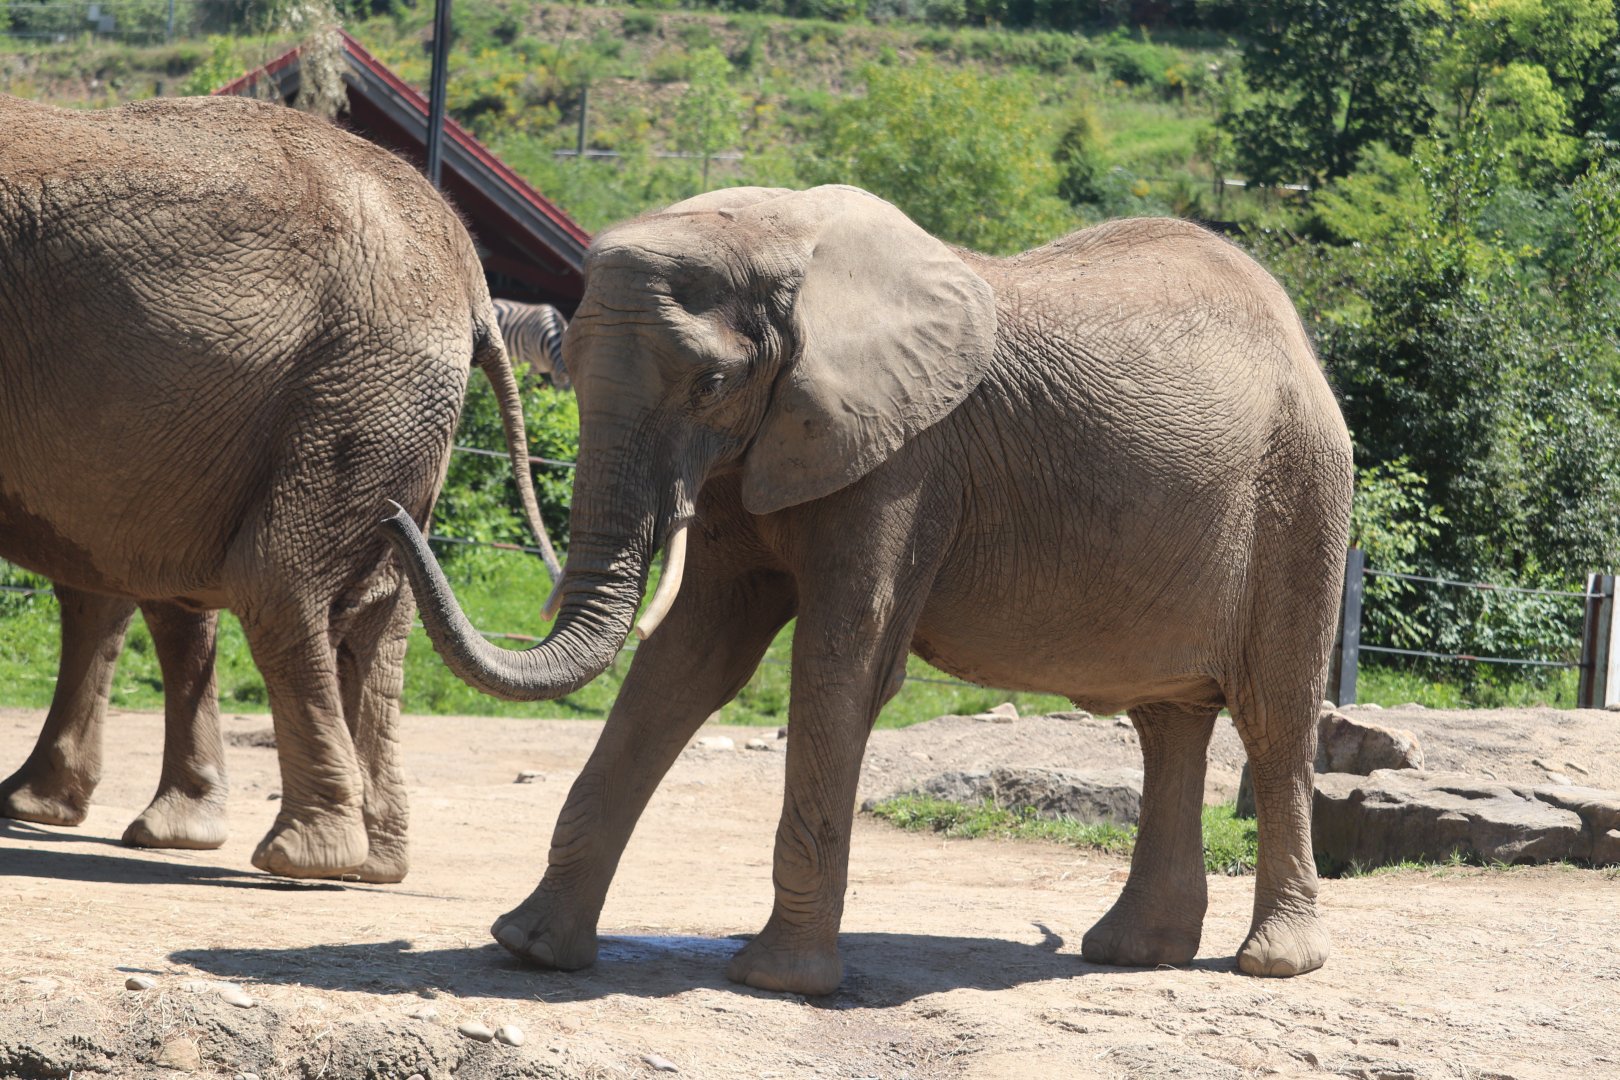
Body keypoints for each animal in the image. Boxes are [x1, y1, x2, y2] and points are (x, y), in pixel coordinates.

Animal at [0, 92, 552, 882]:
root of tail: (473, 289)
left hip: (356, 392)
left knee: (277, 581)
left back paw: (302, 857)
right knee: (366, 609)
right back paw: (363, 863)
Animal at [384, 185, 1354, 992]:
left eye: (711, 382)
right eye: (569, 372)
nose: (395, 515)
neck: (790, 247)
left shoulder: (906, 461)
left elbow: (840, 663)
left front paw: (777, 981)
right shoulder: (765, 447)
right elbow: (690, 662)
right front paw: (527, 949)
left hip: (1301, 497)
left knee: (1272, 717)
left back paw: (1273, 964)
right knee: (1169, 722)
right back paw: (1128, 952)